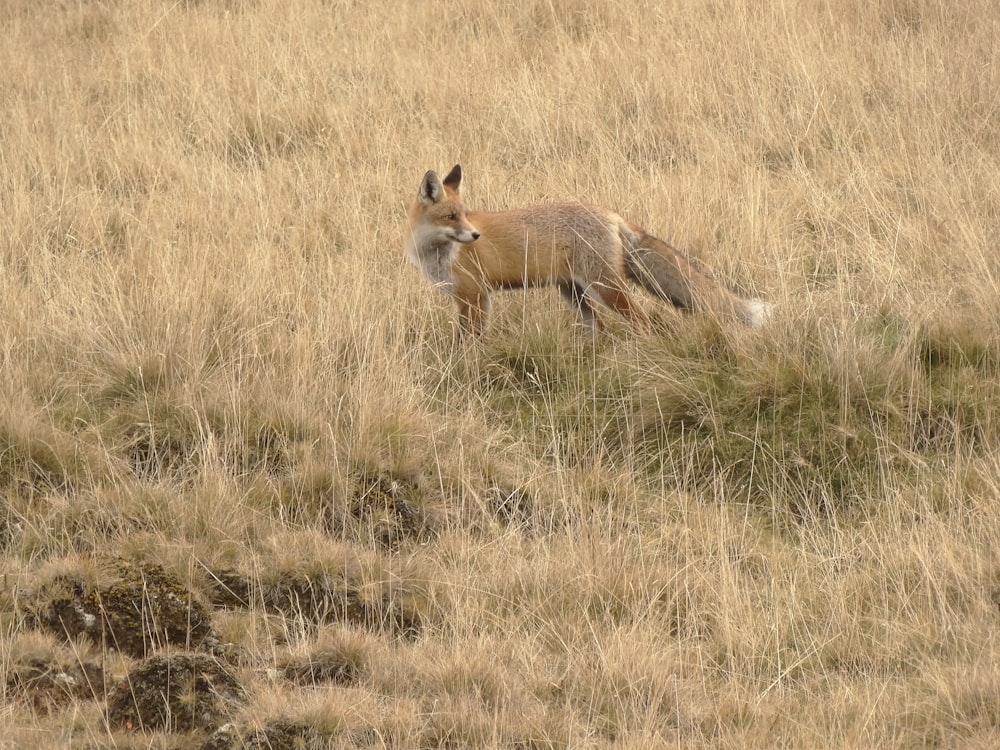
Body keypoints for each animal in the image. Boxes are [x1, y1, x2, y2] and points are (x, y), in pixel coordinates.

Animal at [406, 167, 772, 340]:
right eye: (451, 217)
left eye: (464, 215)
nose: (475, 235)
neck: (436, 254)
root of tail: (612, 214)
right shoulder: (471, 298)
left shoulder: (474, 295)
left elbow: (469, 343)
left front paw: (467, 368)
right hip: (573, 291)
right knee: (599, 327)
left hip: (604, 288)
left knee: (641, 321)